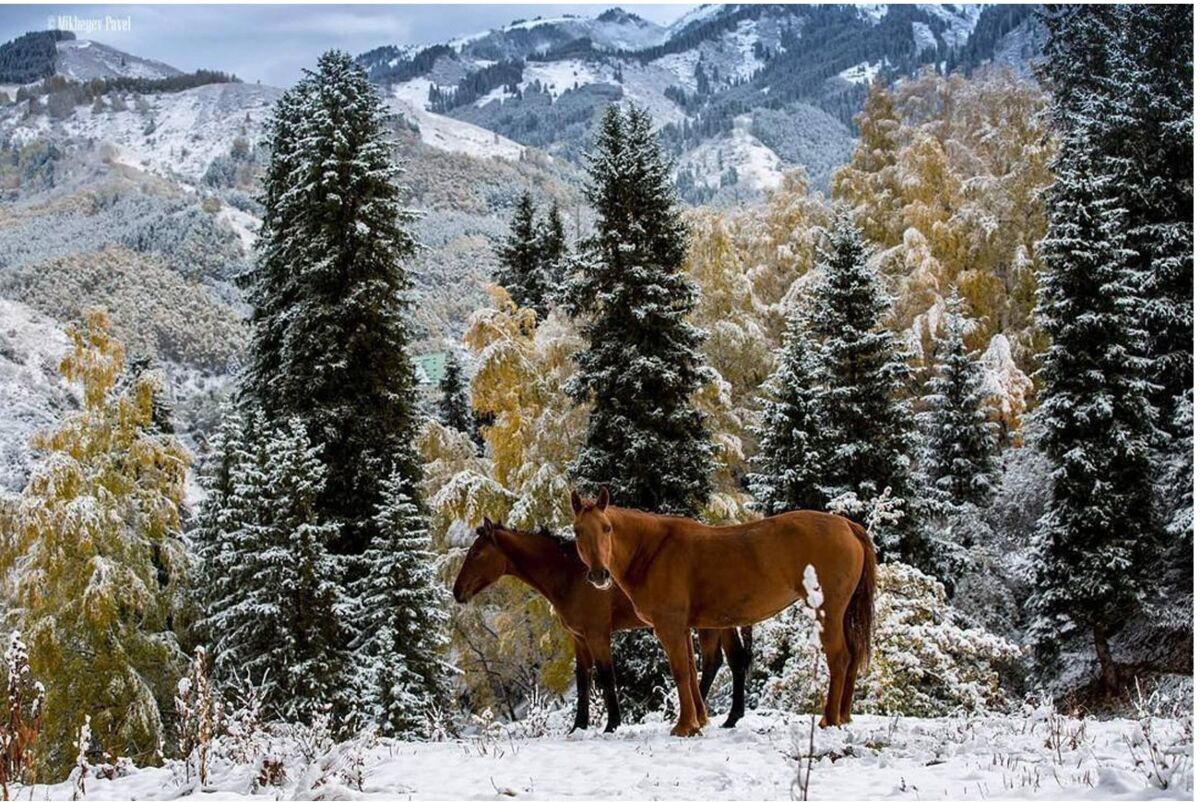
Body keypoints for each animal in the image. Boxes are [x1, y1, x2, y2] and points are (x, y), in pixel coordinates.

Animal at [451, 521, 748, 734]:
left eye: (476, 553)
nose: (457, 591)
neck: (570, 576)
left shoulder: (598, 635)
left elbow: (606, 676)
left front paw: (612, 724)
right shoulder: (579, 638)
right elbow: (583, 680)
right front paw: (578, 726)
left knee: (713, 662)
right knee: (730, 660)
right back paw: (727, 717)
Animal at [571, 485, 873, 734]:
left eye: (607, 528)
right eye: (577, 531)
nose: (599, 574)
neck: (654, 550)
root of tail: (847, 525)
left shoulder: (669, 627)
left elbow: (680, 672)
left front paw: (684, 727)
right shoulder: (684, 628)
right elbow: (691, 672)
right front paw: (698, 721)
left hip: (827, 612)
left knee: (839, 657)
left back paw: (829, 719)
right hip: (843, 614)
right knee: (853, 656)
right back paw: (843, 716)